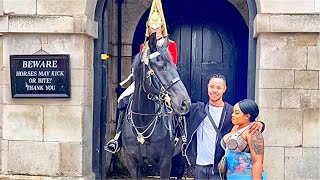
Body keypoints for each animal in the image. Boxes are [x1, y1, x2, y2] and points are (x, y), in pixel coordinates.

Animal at [121, 33, 189, 179]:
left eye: (175, 67)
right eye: (161, 67)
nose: (185, 102)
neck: (143, 121)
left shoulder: (165, 162)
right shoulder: (132, 162)